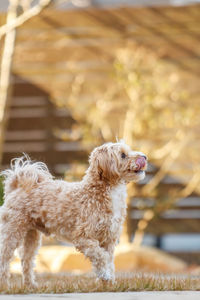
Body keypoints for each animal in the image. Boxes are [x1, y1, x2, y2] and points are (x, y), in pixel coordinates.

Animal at [0, 141, 147, 288]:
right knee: (4, 257)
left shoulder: (108, 240)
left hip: (32, 235)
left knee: (27, 260)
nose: (144, 157)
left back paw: (30, 285)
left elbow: (109, 261)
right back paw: (5, 286)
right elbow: (101, 256)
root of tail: (16, 187)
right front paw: (104, 276)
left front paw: (108, 283)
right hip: (12, 231)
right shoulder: (83, 237)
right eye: (123, 155)